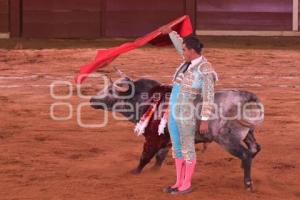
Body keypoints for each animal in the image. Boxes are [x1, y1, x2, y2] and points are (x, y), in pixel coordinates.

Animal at [90, 77, 264, 190]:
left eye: (111, 90)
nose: (92, 99)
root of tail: (246, 96)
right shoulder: (166, 140)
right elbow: (159, 158)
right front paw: (154, 172)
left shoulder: (153, 138)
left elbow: (145, 156)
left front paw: (135, 172)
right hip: (248, 133)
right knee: (255, 148)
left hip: (227, 139)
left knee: (246, 154)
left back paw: (248, 184)